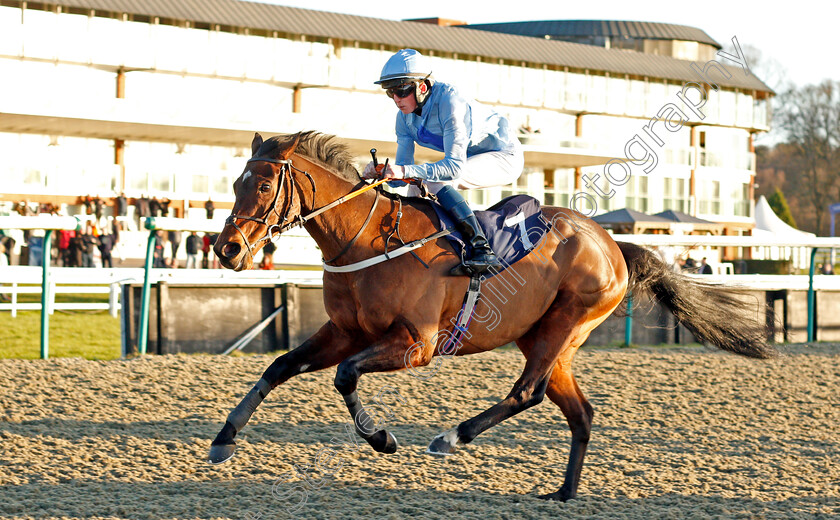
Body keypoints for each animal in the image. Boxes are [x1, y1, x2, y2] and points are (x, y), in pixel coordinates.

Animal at [208, 132, 776, 502]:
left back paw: (451, 437)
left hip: (565, 324)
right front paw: (223, 440)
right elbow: (279, 367)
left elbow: (346, 377)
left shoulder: (417, 344)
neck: (367, 240)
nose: (227, 249)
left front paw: (382, 438)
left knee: (527, 393)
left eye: (263, 186)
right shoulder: (345, 332)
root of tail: (614, 242)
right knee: (578, 411)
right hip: (545, 338)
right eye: (235, 182)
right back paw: (564, 493)